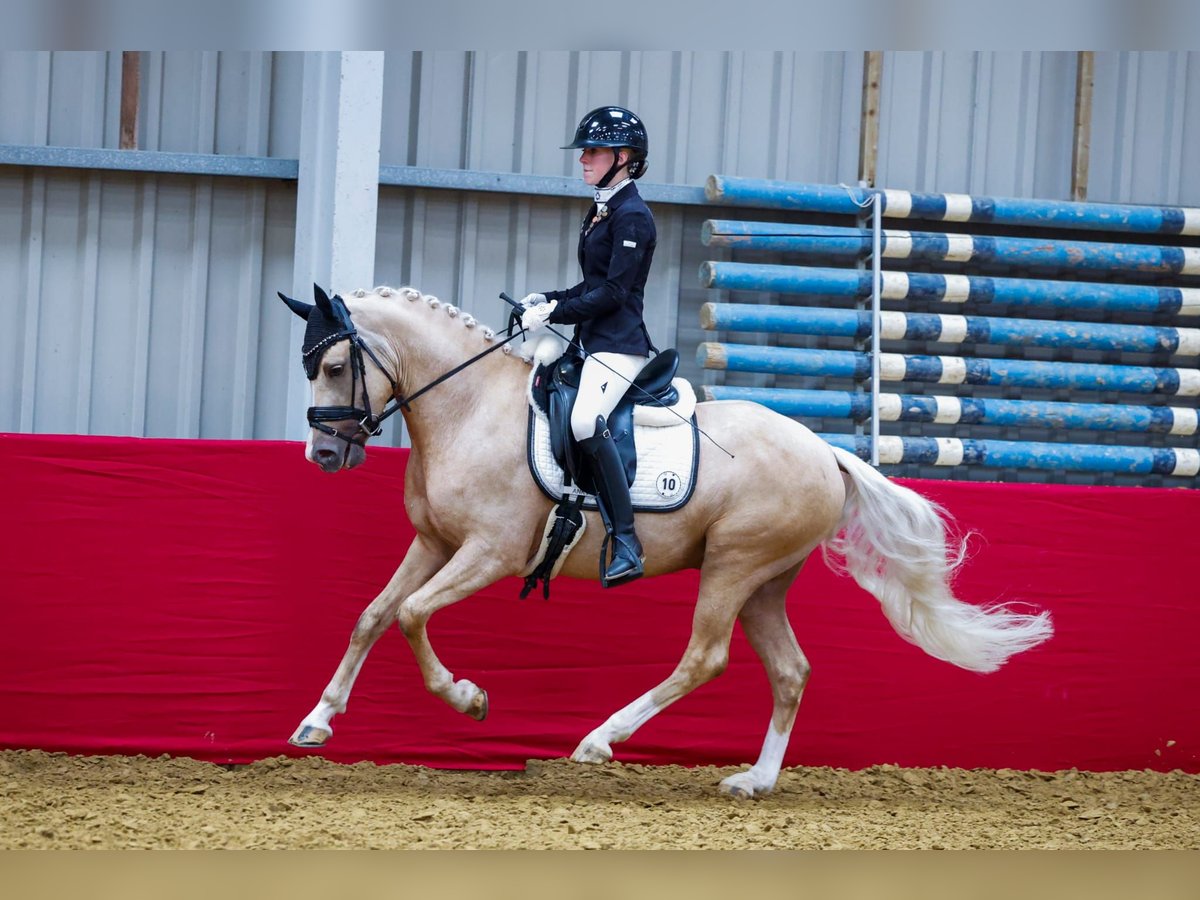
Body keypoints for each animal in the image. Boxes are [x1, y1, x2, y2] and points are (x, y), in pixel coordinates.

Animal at [278, 285, 1051, 801]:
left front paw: (469, 700)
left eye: (337, 367)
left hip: (734, 567)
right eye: (309, 366)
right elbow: (374, 615)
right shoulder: (434, 543)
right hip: (764, 583)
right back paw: (755, 780)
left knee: (704, 657)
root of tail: (826, 453)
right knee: (790, 670)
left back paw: (599, 740)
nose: (324, 454)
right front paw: (315, 723)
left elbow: (412, 616)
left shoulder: (489, 553)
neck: (470, 408)